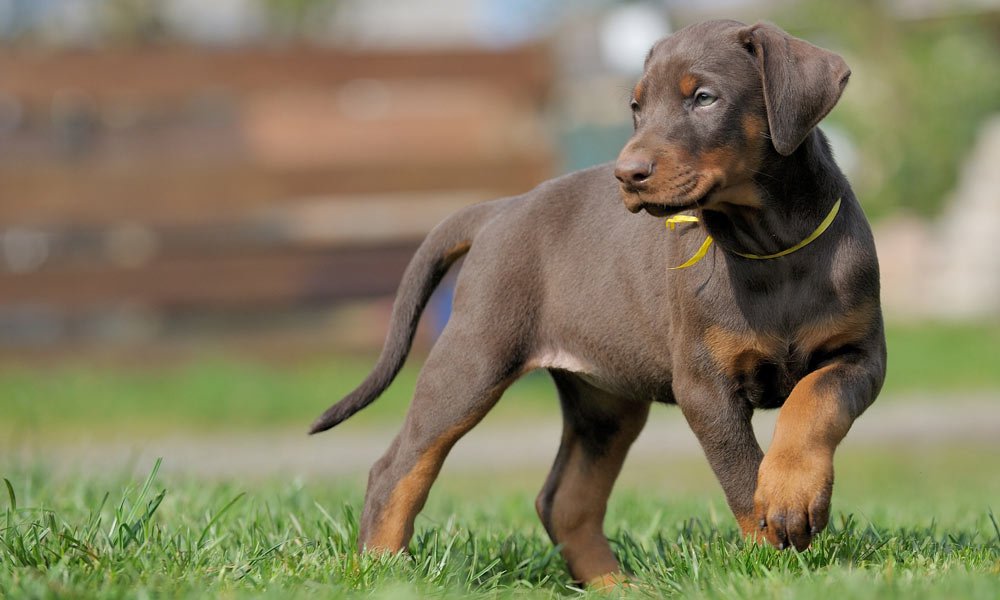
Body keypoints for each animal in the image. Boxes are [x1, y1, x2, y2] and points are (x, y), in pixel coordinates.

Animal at [310, 19, 884, 584]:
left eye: (704, 97)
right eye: (636, 106)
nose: (627, 174)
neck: (770, 247)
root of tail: (501, 210)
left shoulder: (860, 356)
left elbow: (813, 401)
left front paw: (790, 494)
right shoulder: (704, 384)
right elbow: (742, 474)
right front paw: (772, 555)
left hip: (605, 404)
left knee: (563, 500)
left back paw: (617, 587)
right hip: (473, 360)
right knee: (398, 467)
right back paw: (384, 568)